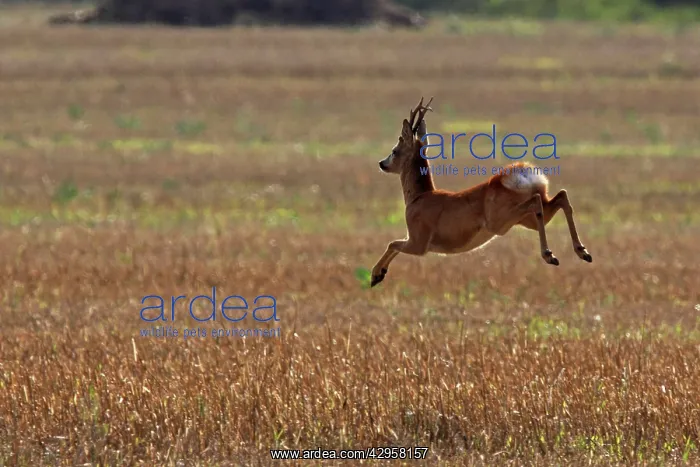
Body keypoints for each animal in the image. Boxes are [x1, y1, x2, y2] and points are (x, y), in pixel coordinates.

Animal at [370, 96, 592, 288]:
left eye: (394, 150)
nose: (381, 163)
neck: (419, 197)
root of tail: (522, 174)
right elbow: (393, 245)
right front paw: (378, 276)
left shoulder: (419, 242)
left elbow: (392, 243)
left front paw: (375, 275)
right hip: (525, 218)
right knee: (560, 197)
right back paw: (582, 252)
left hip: (500, 221)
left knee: (537, 201)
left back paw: (550, 254)